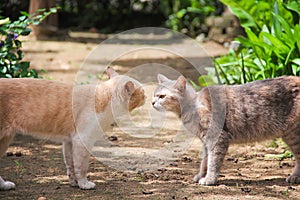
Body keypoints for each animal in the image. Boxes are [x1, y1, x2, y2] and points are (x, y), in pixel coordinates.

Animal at [0, 66, 145, 190]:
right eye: (143, 92)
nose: (147, 96)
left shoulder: (69, 141)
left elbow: (70, 165)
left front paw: (74, 183)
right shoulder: (82, 140)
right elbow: (81, 166)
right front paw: (84, 184)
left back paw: (5, 186)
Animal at [152, 73, 300, 186]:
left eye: (162, 96)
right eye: (154, 94)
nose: (152, 102)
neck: (194, 105)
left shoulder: (218, 139)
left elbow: (213, 162)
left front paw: (209, 179)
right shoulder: (206, 143)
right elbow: (204, 161)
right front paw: (201, 175)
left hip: (293, 135)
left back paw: (295, 177)